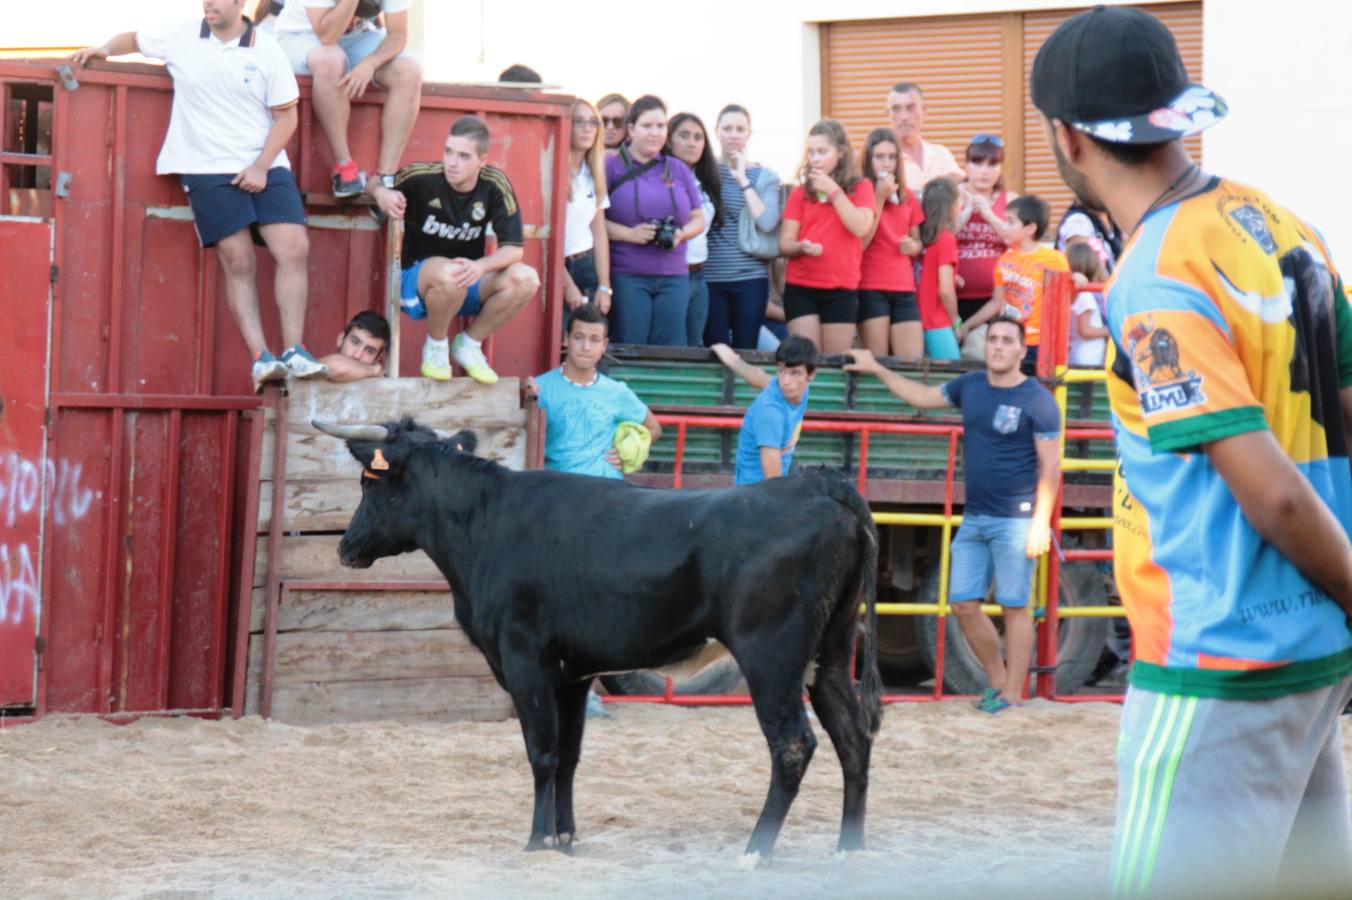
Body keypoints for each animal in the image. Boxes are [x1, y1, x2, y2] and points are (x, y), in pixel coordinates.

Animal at [316, 416, 886, 859]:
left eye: (369, 482)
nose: (345, 547)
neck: (485, 521)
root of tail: (821, 486)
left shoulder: (524, 664)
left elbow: (542, 753)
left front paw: (537, 841)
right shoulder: (572, 675)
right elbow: (568, 756)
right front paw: (566, 837)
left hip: (772, 658)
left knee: (793, 744)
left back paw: (755, 851)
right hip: (830, 652)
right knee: (853, 736)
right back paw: (850, 848)